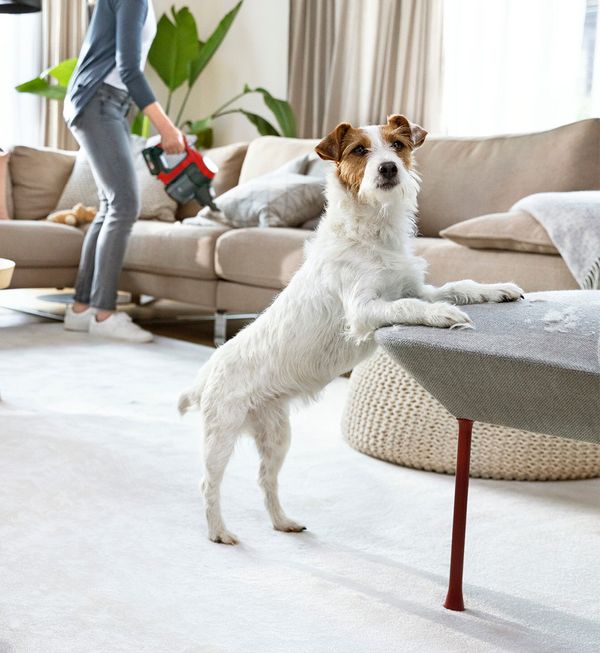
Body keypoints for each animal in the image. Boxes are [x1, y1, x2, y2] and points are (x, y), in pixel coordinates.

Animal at [178, 114, 520, 544]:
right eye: (359, 150)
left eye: (398, 146)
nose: (388, 168)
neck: (373, 232)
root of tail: (206, 372)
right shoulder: (364, 309)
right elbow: (410, 306)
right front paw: (443, 315)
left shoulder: (417, 286)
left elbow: (460, 286)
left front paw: (497, 289)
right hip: (221, 435)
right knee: (208, 483)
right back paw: (219, 532)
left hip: (277, 436)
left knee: (265, 480)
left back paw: (282, 522)